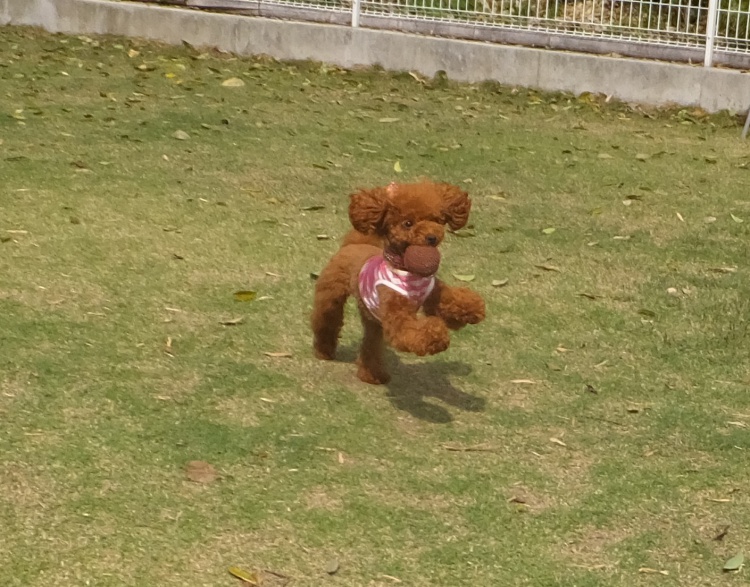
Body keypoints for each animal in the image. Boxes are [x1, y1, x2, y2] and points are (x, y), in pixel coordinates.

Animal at [311, 180, 485, 384]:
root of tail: (354, 243)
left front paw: (471, 310)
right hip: (331, 293)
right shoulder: (397, 315)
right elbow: (408, 331)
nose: (432, 237)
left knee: (371, 343)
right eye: (408, 224)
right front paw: (436, 338)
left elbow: (451, 301)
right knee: (327, 320)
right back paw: (324, 350)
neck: (408, 272)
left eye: (436, 220)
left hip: (373, 320)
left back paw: (372, 374)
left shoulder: (433, 291)